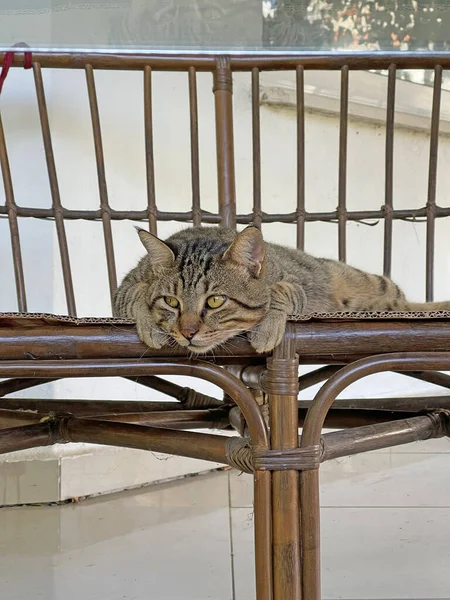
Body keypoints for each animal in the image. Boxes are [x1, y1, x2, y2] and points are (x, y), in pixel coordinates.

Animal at [113, 227, 450, 354]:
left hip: (371, 284)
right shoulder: (124, 289)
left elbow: (281, 292)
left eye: (216, 301)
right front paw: (151, 324)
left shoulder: (295, 286)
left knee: (402, 298)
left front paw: (267, 326)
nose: (188, 332)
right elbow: (135, 296)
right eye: (171, 301)